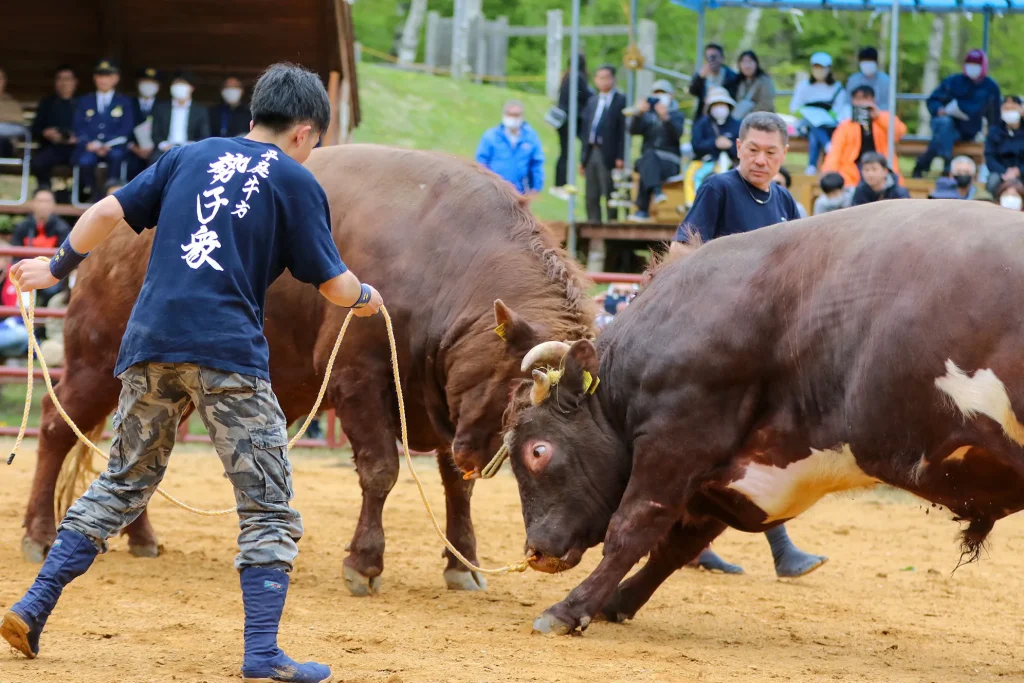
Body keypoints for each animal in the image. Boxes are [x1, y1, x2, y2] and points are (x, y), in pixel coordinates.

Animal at [22, 144, 593, 598]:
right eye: (525, 407)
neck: (444, 260)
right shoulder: (357, 380)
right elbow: (381, 470)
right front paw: (364, 561)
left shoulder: (447, 410)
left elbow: (457, 484)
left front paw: (463, 563)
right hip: (96, 366)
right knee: (54, 425)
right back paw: (38, 532)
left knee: (140, 462)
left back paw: (141, 538)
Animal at [501, 200, 1024, 638]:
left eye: (537, 451)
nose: (535, 551)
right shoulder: (739, 466)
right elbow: (678, 544)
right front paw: (619, 602)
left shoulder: (678, 437)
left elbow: (633, 528)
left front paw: (570, 609)